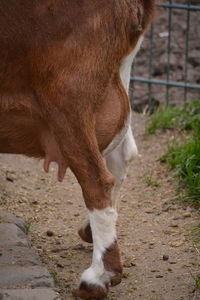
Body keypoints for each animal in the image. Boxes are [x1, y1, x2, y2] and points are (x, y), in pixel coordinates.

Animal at [0, 1, 155, 298]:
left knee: (97, 179)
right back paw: (91, 233)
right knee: (122, 154)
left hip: (69, 94)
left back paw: (99, 277)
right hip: (114, 76)